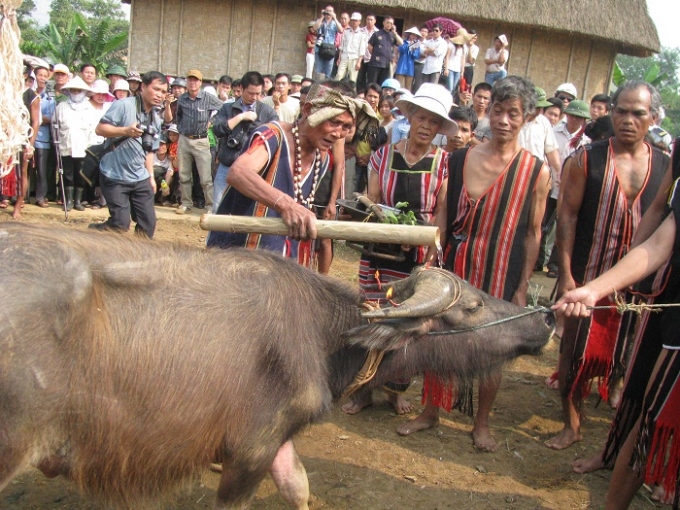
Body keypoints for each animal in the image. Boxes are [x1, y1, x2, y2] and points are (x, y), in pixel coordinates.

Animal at [0, 225, 552, 508]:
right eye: (473, 305)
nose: (544, 319)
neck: (324, 330)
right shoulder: (250, 451)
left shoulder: (279, 439)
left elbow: (298, 487)